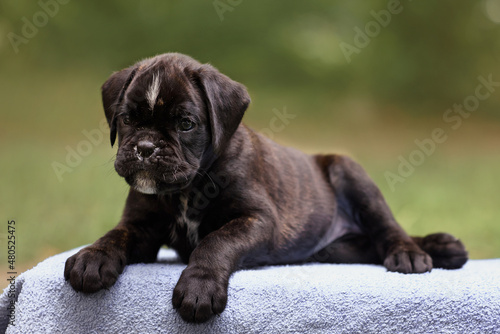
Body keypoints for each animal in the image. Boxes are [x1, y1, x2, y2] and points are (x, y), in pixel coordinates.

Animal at [63, 53, 468, 322]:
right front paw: (93, 257)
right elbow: (115, 234)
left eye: (185, 123)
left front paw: (199, 286)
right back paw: (442, 247)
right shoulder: (142, 228)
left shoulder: (257, 220)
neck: (188, 188)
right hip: (339, 249)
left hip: (350, 173)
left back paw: (417, 252)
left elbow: (216, 241)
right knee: (370, 245)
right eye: (127, 119)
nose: (145, 148)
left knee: (388, 229)